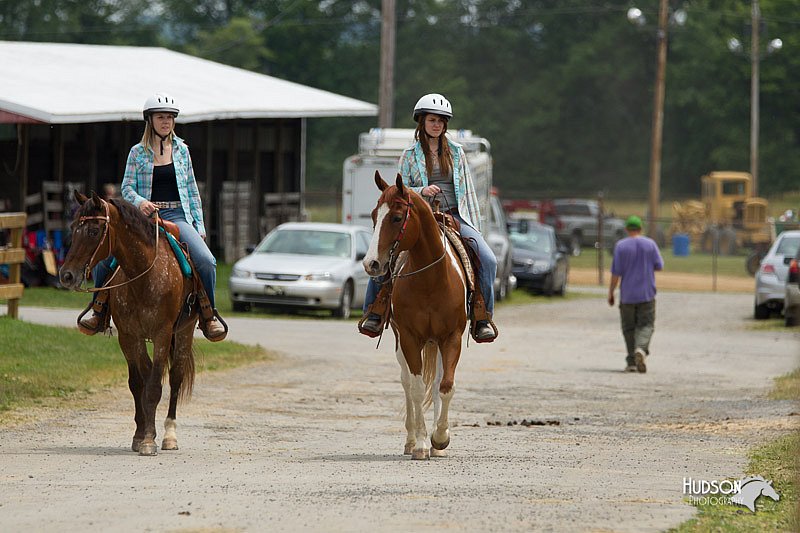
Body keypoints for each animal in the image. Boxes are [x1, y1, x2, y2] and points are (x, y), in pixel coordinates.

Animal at [59, 193, 197, 456]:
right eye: (72, 228)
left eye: (94, 231)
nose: (66, 275)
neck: (144, 275)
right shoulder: (128, 335)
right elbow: (138, 383)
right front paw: (140, 435)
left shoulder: (163, 334)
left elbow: (154, 387)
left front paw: (149, 442)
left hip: (184, 332)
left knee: (175, 377)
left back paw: (169, 436)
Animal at [362, 172, 468, 460]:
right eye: (374, 216)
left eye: (397, 217)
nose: (370, 263)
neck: (431, 280)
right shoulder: (410, 338)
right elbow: (417, 388)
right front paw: (420, 444)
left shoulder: (451, 337)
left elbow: (445, 386)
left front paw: (440, 439)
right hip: (403, 342)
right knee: (407, 382)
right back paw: (411, 441)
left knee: (436, 381)